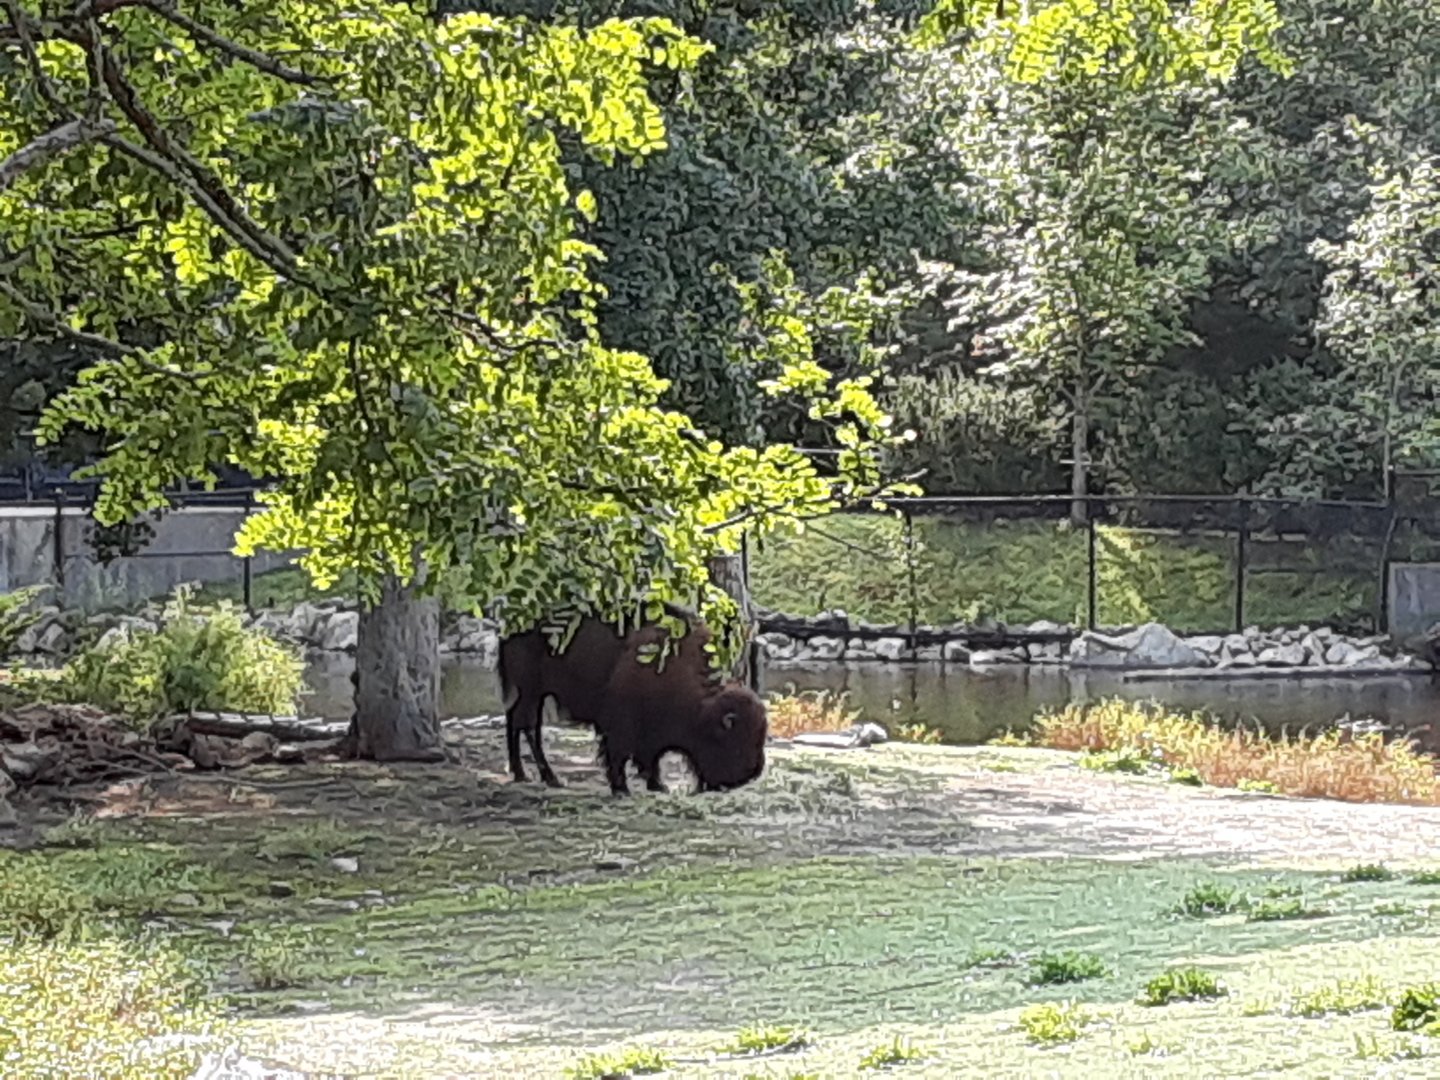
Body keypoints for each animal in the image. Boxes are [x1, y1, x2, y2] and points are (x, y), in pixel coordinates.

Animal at [498, 608, 768, 795]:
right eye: (734, 741)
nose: (752, 774)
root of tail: (513, 624)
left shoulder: (650, 733)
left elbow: (650, 758)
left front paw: (657, 785)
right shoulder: (621, 725)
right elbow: (620, 755)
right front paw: (622, 788)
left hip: (532, 693)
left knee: (516, 721)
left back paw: (522, 773)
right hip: (532, 690)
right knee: (527, 725)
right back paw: (547, 777)